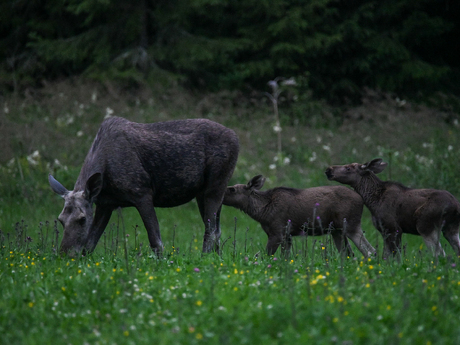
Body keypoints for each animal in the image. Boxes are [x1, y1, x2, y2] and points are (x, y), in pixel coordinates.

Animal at [49, 115, 239, 255]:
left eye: (82, 219)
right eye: (60, 219)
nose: (65, 254)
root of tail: (236, 138)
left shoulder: (142, 193)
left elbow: (156, 240)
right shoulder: (105, 204)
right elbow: (89, 245)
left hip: (216, 185)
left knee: (211, 231)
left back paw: (204, 259)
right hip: (203, 193)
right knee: (217, 229)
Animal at [223, 173, 378, 256]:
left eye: (232, 189)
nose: (221, 194)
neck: (261, 212)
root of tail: (361, 199)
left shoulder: (277, 233)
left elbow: (266, 256)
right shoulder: (287, 235)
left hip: (351, 225)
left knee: (370, 251)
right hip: (337, 231)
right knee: (349, 254)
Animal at [326, 158, 460, 255]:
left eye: (348, 168)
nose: (329, 170)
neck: (372, 201)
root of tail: (455, 206)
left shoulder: (393, 228)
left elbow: (396, 256)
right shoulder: (384, 230)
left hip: (425, 226)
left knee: (440, 254)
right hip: (451, 229)